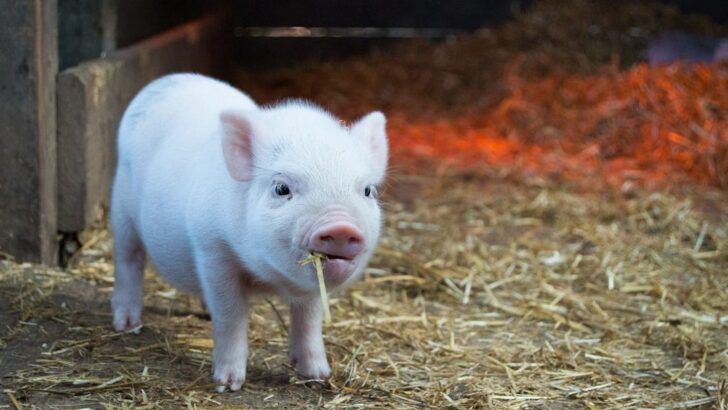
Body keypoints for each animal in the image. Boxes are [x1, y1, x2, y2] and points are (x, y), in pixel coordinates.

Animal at [110, 73, 388, 391]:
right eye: (281, 188)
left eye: (367, 190)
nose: (341, 227)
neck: (268, 278)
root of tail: (166, 80)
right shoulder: (212, 249)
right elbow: (231, 316)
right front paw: (227, 384)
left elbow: (309, 318)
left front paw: (318, 375)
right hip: (121, 208)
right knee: (128, 259)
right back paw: (126, 324)